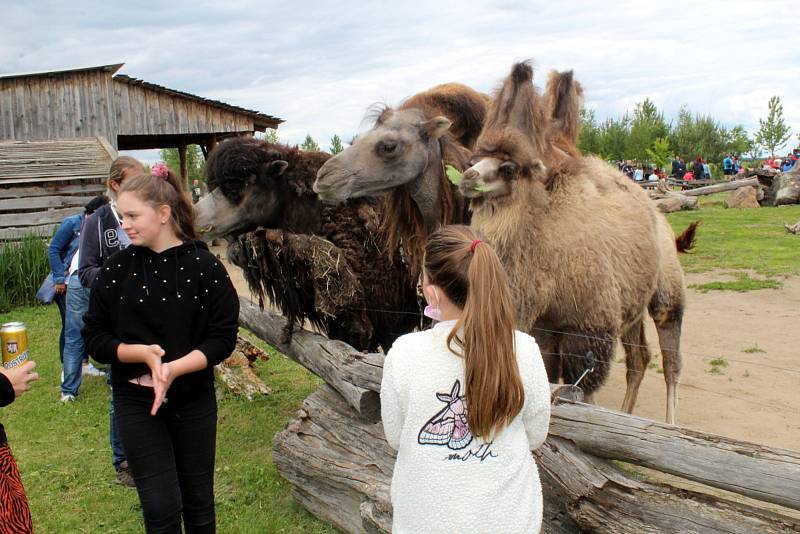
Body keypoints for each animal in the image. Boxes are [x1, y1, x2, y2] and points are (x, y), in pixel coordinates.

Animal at [460, 61, 696, 422]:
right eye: (473, 160)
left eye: (509, 167)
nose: (467, 178)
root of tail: (658, 216)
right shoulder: (544, 328)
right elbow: (547, 374)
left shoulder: (589, 326)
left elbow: (583, 391)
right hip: (631, 305)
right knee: (639, 359)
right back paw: (627, 413)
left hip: (667, 292)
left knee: (671, 360)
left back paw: (669, 424)